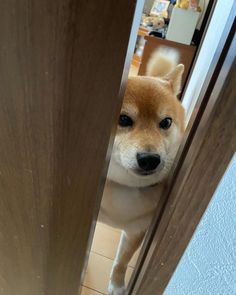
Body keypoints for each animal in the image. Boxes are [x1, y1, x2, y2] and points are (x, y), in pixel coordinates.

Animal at [97, 49, 184, 295]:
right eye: (123, 119)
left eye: (166, 122)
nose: (150, 160)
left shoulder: (137, 230)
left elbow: (122, 261)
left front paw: (117, 285)